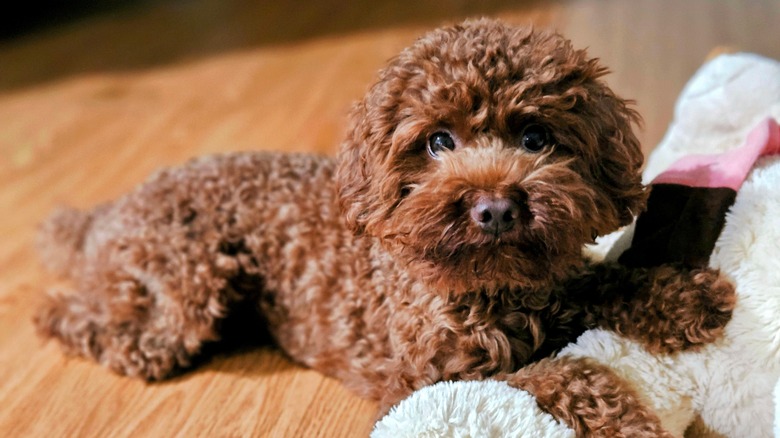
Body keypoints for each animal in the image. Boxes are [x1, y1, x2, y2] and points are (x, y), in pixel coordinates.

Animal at [35, 18, 732, 434]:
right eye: (437, 141)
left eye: (536, 137)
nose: (496, 208)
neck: (492, 286)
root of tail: (110, 211)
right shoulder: (422, 381)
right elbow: (553, 375)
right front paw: (624, 419)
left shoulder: (555, 286)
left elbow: (605, 278)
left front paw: (685, 296)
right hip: (189, 285)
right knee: (98, 326)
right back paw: (54, 313)